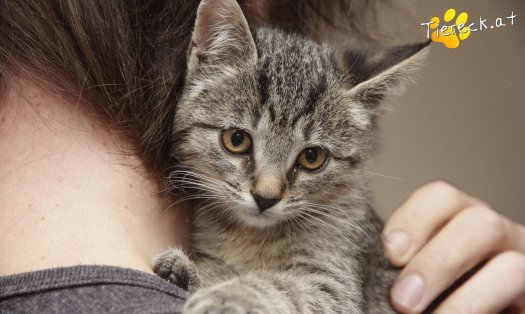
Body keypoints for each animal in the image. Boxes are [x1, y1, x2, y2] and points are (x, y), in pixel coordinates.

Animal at [154, 0, 428, 312]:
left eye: (312, 157)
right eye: (236, 140)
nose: (265, 198)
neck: (250, 235)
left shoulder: (335, 286)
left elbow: (279, 286)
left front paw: (226, 296)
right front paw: (191, 270)